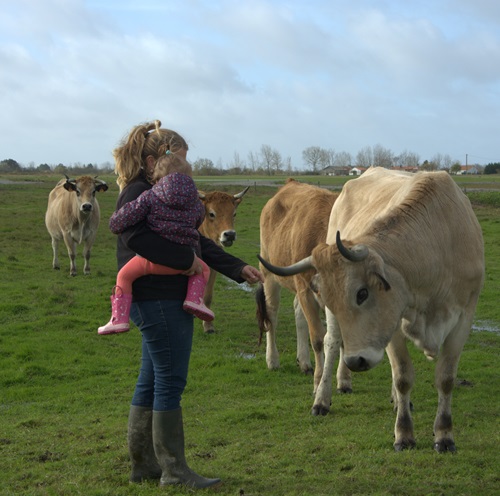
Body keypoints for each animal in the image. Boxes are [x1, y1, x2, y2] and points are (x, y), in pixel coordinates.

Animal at [197, 186, 248, 334]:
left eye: (234, 214)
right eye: (211, 214)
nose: (229, 234)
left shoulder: (213, 267)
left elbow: (208, 296)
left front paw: (208, 325)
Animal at [258, 168, 484, 454]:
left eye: (362, 293)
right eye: (331, 300)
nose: (356, 361)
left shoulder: (464, 317)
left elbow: (445, 378)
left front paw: (444, 435)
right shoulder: (392, 324)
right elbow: (402, 376)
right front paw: (404, 434)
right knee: (331, 342)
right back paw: (322, 397)